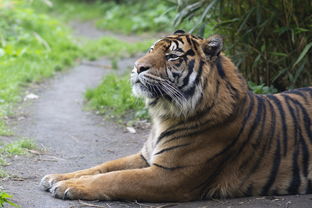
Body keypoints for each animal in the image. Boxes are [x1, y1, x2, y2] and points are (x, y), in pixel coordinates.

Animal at [40, 30, 312, 202]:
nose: (137, 66)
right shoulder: (145, 157)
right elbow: (102, 167)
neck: (164, 114)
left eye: (172, 56)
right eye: (151, 49)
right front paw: (56, 177)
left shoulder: (169, 175)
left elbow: (114, 178)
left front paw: (68, 186)